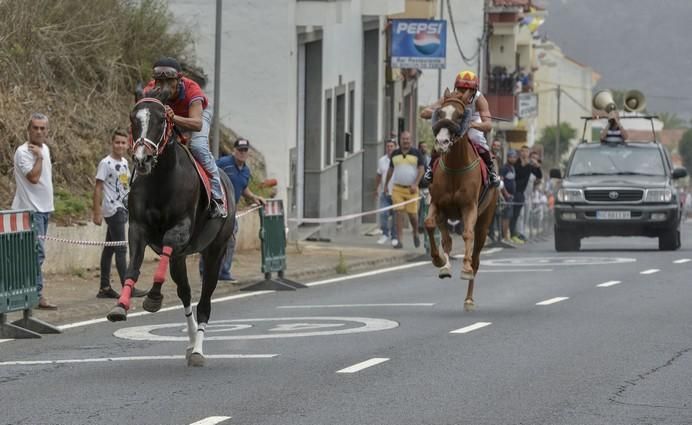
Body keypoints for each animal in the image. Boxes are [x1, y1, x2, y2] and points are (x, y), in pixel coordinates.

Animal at [105, 93, 235, 368]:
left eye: (161, 120)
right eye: (134, 119)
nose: (142, 158)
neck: (161, 179)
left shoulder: (180, 229)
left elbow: (166, 246)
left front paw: (154, 297)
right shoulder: (137, 228)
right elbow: (133, 266)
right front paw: (121, 305)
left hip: (215, 250)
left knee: (205, 301)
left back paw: (197, 351)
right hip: (180, 258)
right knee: (185, 293)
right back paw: (189, 343)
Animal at [422, 88, 498, 310]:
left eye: (460, 115)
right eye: (440, 113)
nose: (441, 143)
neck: (455, 167)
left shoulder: (469, 207)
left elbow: (467, 235)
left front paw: (465, 269)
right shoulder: (437, 204)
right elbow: (429, 224)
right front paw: (438, 261)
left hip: (485, 220)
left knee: (476, 257)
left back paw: (469, 298)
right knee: (447, 240)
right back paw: (445, 267)